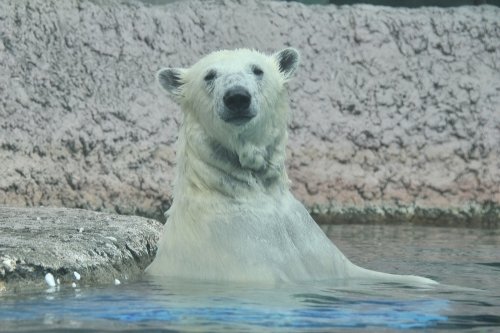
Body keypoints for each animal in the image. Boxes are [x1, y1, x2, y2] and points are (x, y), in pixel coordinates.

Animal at [145, 48, 434, 284]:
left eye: (257, 69)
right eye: (209, 75)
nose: (237, 97)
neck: (254, 194)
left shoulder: (310, 243)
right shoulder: (238, 254)